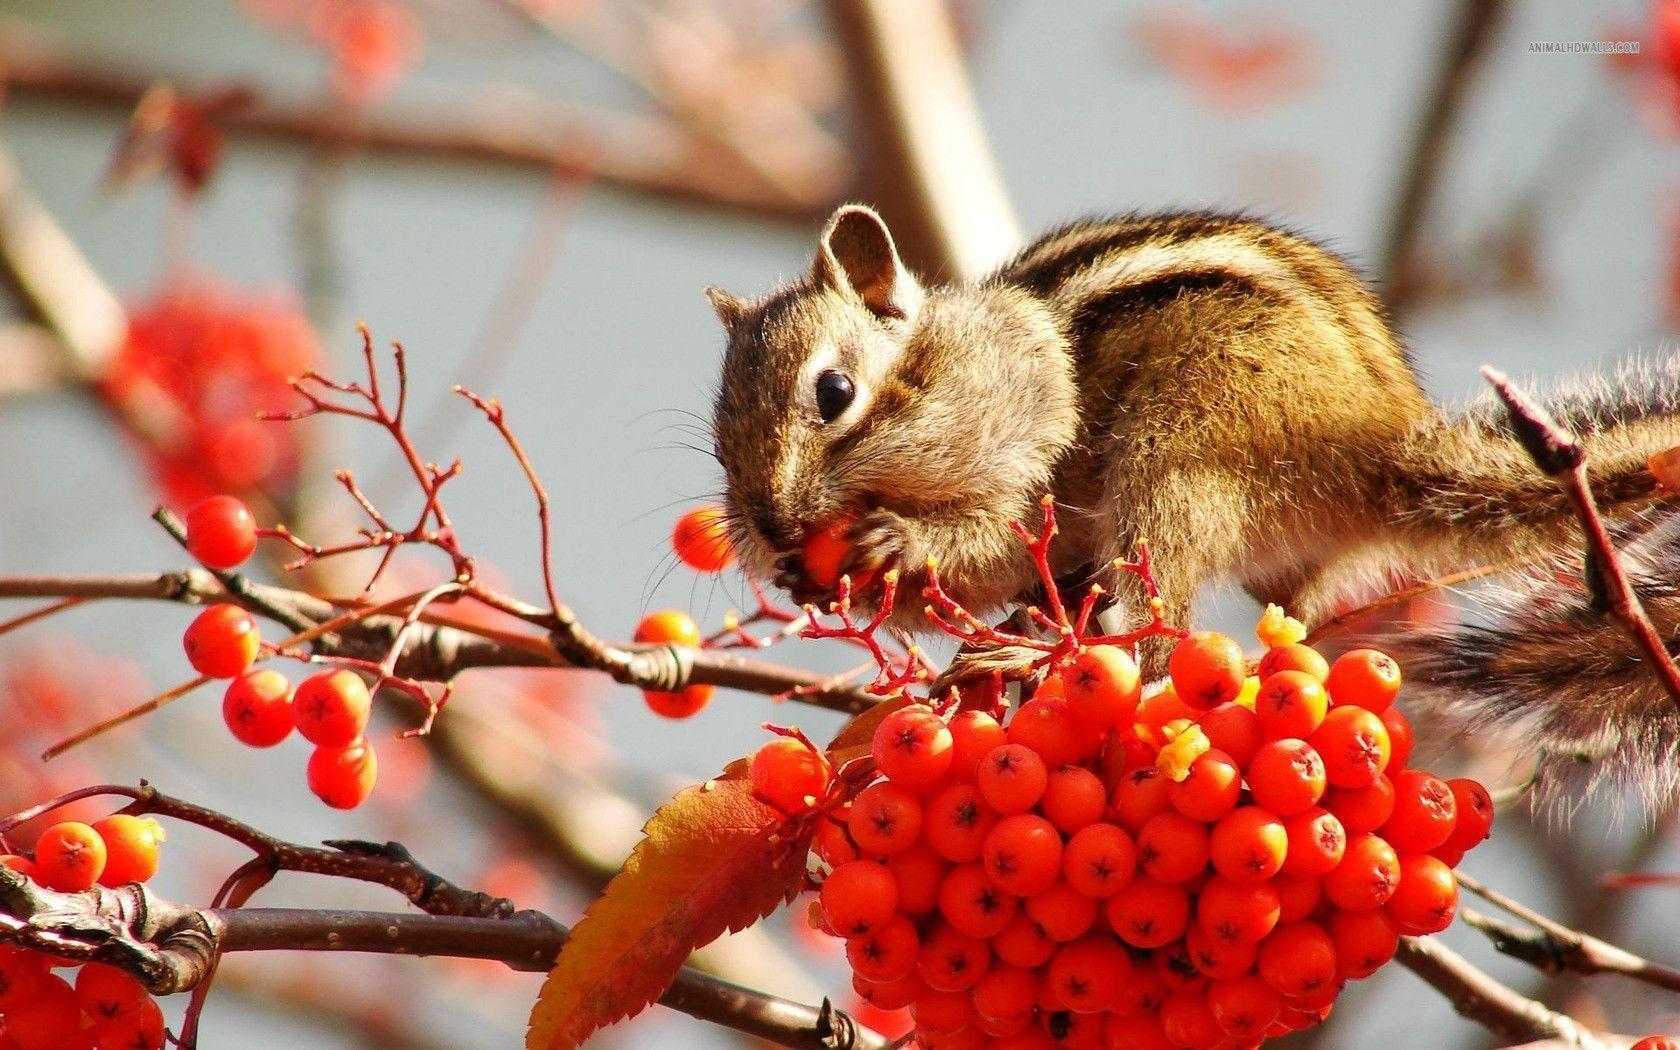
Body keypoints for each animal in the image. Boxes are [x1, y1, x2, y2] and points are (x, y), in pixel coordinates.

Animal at [705, 205, 1680, 797]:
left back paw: (1039, 657)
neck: (943, 362)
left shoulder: (1030, 441)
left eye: (833, 392)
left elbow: (998, 539)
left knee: (1158, 642)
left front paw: (902, 543)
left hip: (1179, 456)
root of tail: (1383, 448)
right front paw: (810, 578)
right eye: (717, 434)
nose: (776, 528)